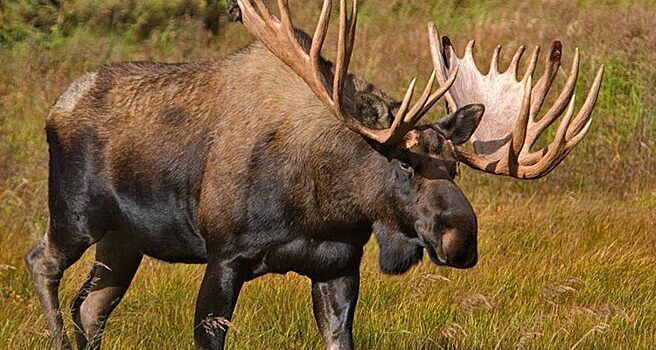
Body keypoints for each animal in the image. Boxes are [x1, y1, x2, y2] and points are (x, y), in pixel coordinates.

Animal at [25, 0, 604, 348]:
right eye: (403, 162)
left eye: (457, 169)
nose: (461, 238)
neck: (323, 204)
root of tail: (55, 108)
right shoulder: (224, 254)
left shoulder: (337, 267)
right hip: (75, 215)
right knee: (42, 262)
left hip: (124, 240)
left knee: (92, 307)